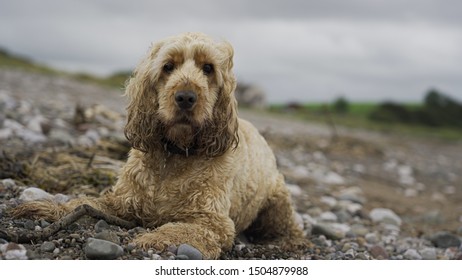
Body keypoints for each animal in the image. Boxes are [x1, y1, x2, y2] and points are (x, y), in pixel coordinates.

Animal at [10, 32, 304, 258]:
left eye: (208, 68)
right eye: (168, 67)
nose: (185, 97)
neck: (175, 153)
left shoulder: (212, 222)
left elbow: (181, 230)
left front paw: (151, 239)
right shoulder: (122, 201)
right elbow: (82, 202)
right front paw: (47, 207)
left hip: (278, 202)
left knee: (293, 229)